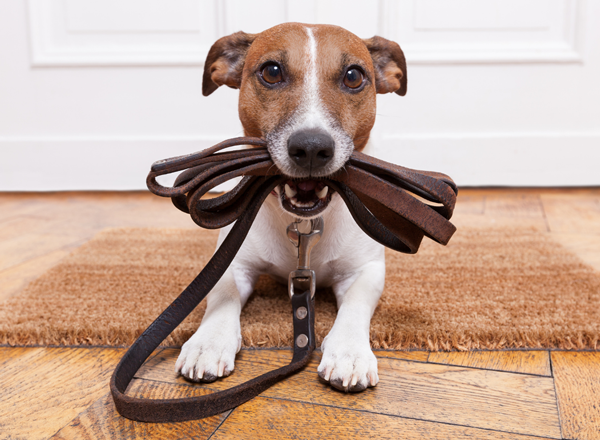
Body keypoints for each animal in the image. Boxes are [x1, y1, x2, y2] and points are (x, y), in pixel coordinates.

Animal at [175, 21, 408, 392]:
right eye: (271, 71)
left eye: (353, 76)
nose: (311, 148)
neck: (304, 224)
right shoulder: (232, 262)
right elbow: (222, 295)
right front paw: (207, 342)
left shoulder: (366, 270)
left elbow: (356, 305)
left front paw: (349, 352)